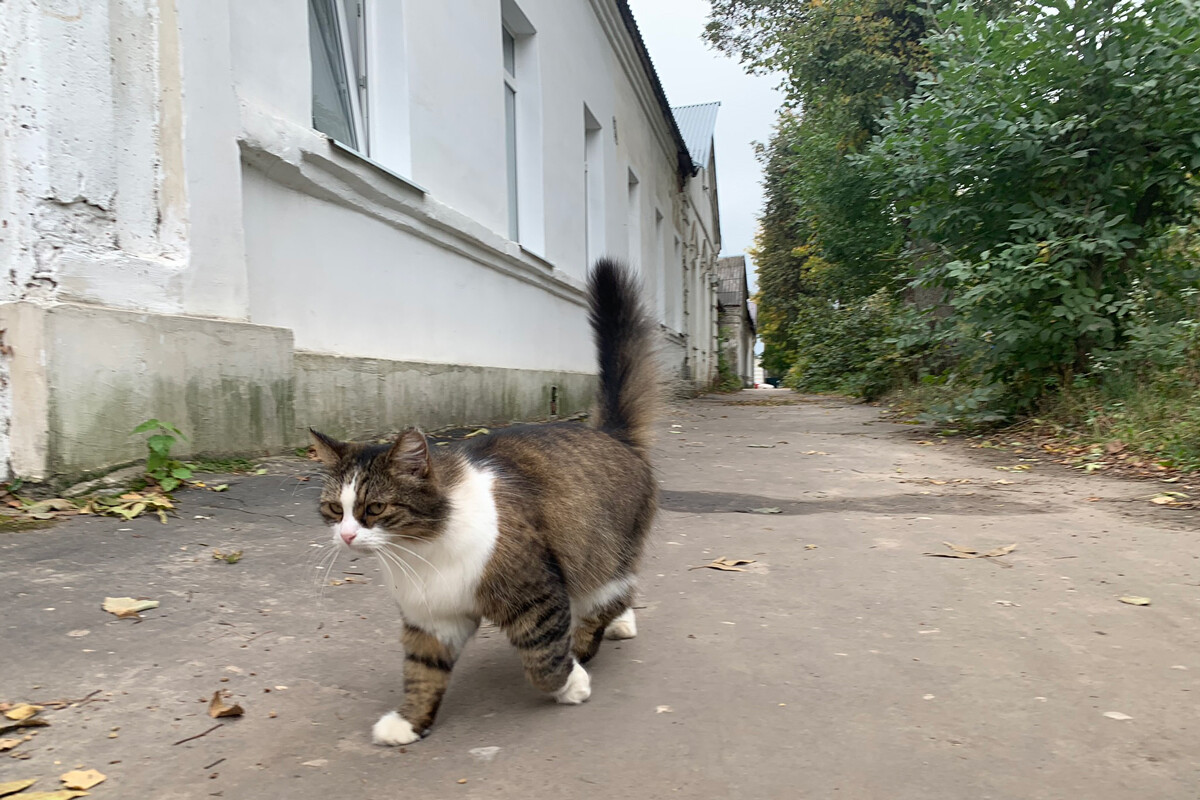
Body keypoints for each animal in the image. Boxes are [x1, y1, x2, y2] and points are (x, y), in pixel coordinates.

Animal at [309, 260, 657, 748]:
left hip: (602, 552)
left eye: (373, 509)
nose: (345, 535)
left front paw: (572, 683)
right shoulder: (432, 620)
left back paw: (595, 639)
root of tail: (611, 434)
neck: (419, 553)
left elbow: (544, 660)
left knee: (611, 596)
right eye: (333, 510)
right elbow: (421, 674)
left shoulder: (537, 595)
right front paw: (409, 722)